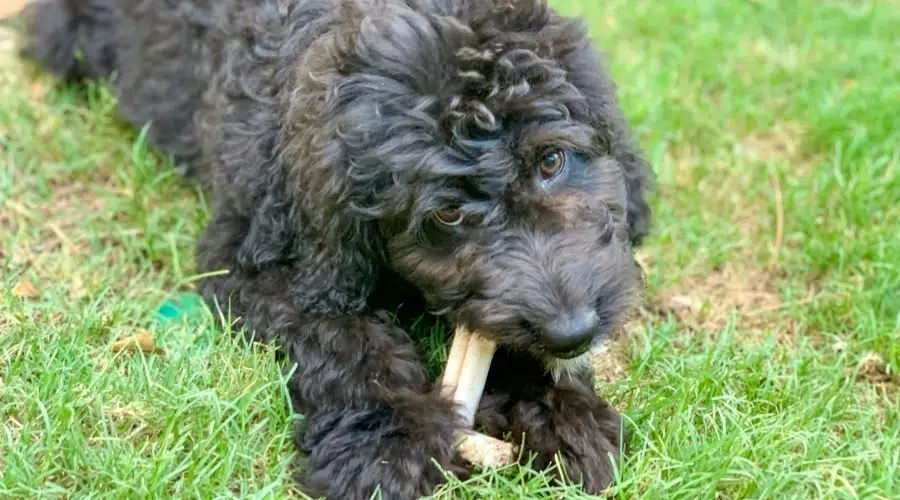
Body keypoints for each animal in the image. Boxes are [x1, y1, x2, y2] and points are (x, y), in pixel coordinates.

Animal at [19, 1, 652, 498]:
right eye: (446, 213)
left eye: (551, 161)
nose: (573, 332)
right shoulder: (257, 260)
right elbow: (347, 339)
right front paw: (388, 445)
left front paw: (560, 416)